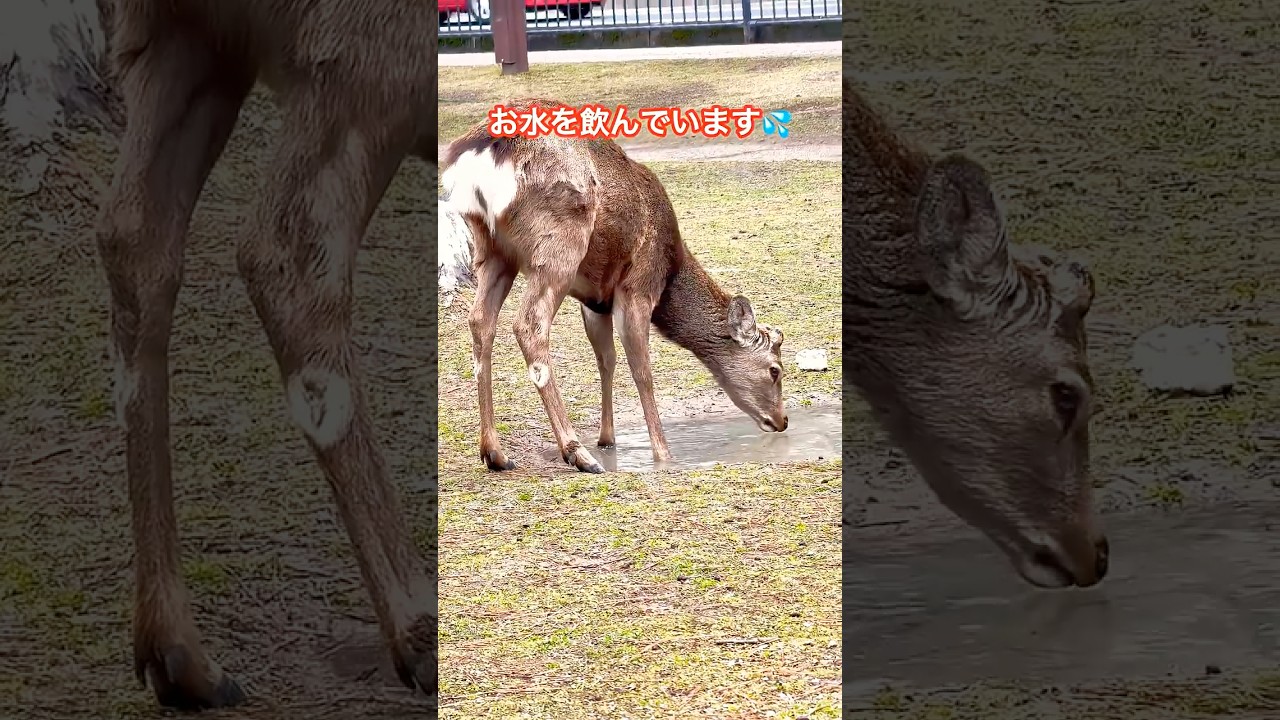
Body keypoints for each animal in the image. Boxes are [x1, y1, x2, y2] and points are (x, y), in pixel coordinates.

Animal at [91, 0, 437, 710]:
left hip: (181, 40)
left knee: (132, 236)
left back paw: (180, 656)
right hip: (368, 58)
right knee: (287, 253)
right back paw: (419, 630)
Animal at [439, 100, 789, 475]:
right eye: (775, 370)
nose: (782, 420)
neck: (671, 269)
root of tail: (480, 154)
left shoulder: (595, 301)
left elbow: (606, 359)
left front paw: (608, 439)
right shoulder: (637, 286)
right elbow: (642, 368)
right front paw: (663, 454)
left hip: (493, 251)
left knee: (480, 321)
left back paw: (495, 452)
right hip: (559, 245)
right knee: (529, 324)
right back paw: (577, 453)